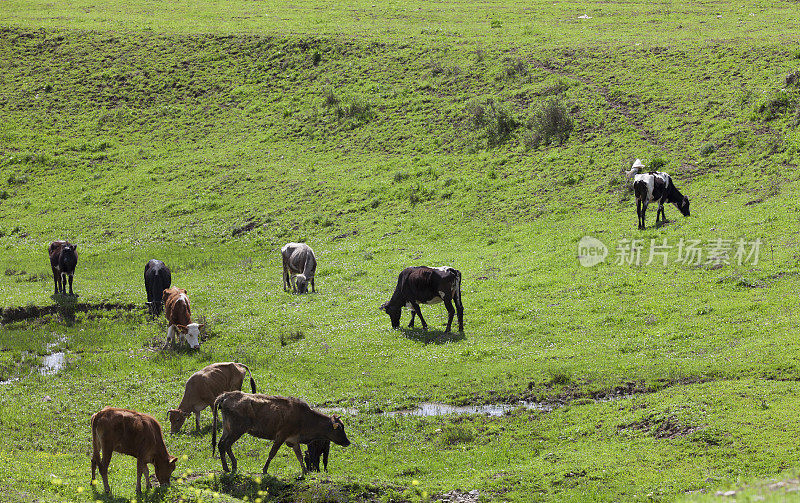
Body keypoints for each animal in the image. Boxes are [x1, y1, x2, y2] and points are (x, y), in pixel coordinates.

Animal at [212, 390, 350, 476]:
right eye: (339, 428)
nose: (348, 442)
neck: (305, 417)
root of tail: (226, 395)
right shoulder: (281, 436)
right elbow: (272, 453)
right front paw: (265, 470)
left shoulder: (293, 440)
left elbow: (299, 456)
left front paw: (305, 472)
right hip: (237, 430)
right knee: (226, 444)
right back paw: (233, 466)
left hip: (227, 429)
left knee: (221, 444)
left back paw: (226, 467)